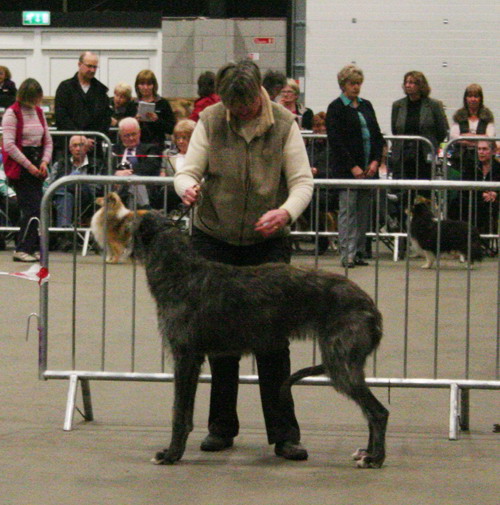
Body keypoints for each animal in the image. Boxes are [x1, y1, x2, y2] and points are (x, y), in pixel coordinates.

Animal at [134, 212, 390, 464]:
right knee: (370, 411)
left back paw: (374, 458)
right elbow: (185, 413)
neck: (180, 272)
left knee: (378, 412)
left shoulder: (185, 356)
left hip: (340, 360)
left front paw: (170, 454)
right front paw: (175, 451)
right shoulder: (194, 360)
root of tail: (371, 307)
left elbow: (178, 412)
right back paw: (367, 452)